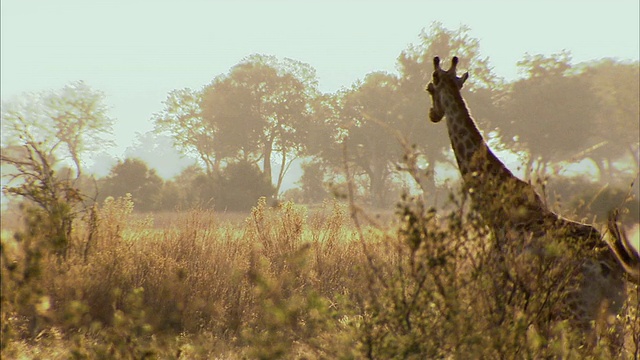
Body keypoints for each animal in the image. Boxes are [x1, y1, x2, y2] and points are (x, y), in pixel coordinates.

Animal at [422, 57, 636, 338]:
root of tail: (611, 269)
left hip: (578, 312)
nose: (433, 114)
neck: (493, 207)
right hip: (615, 316)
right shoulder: (534, 302)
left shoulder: (501, 285)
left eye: (429, 88)